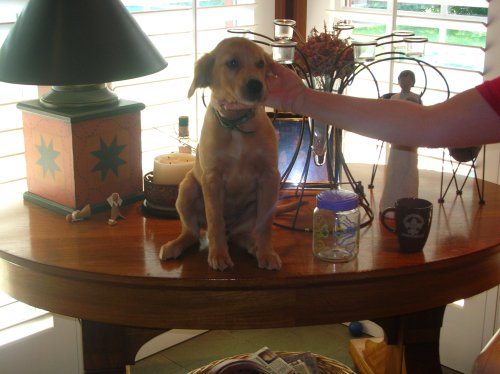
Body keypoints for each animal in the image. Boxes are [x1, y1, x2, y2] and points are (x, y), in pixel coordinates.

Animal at [161, 38, 286, 270]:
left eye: (260, 64)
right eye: (232, 63)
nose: (256, 84)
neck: (236, 123)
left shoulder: (270, 176)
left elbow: (265, 224)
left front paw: (266, 253)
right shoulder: (212, 178)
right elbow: (215, 222)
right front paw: (218, 255)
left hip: (252, 207)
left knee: (241, 234)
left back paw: (253, 245)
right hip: (187, 188)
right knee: (192, 232)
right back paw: (176, 244)